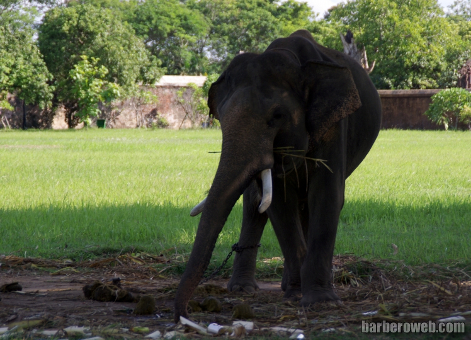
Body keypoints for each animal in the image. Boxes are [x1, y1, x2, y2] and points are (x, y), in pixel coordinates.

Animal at [175, 29, 382, 322]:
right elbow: (279, 203)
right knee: (256, 204)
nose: (185, 313)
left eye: (277, 116)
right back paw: (246, 289)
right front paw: (296, 295)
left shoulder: (333, 124)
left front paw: (321, 302)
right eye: (221, 118)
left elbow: (327, 195)